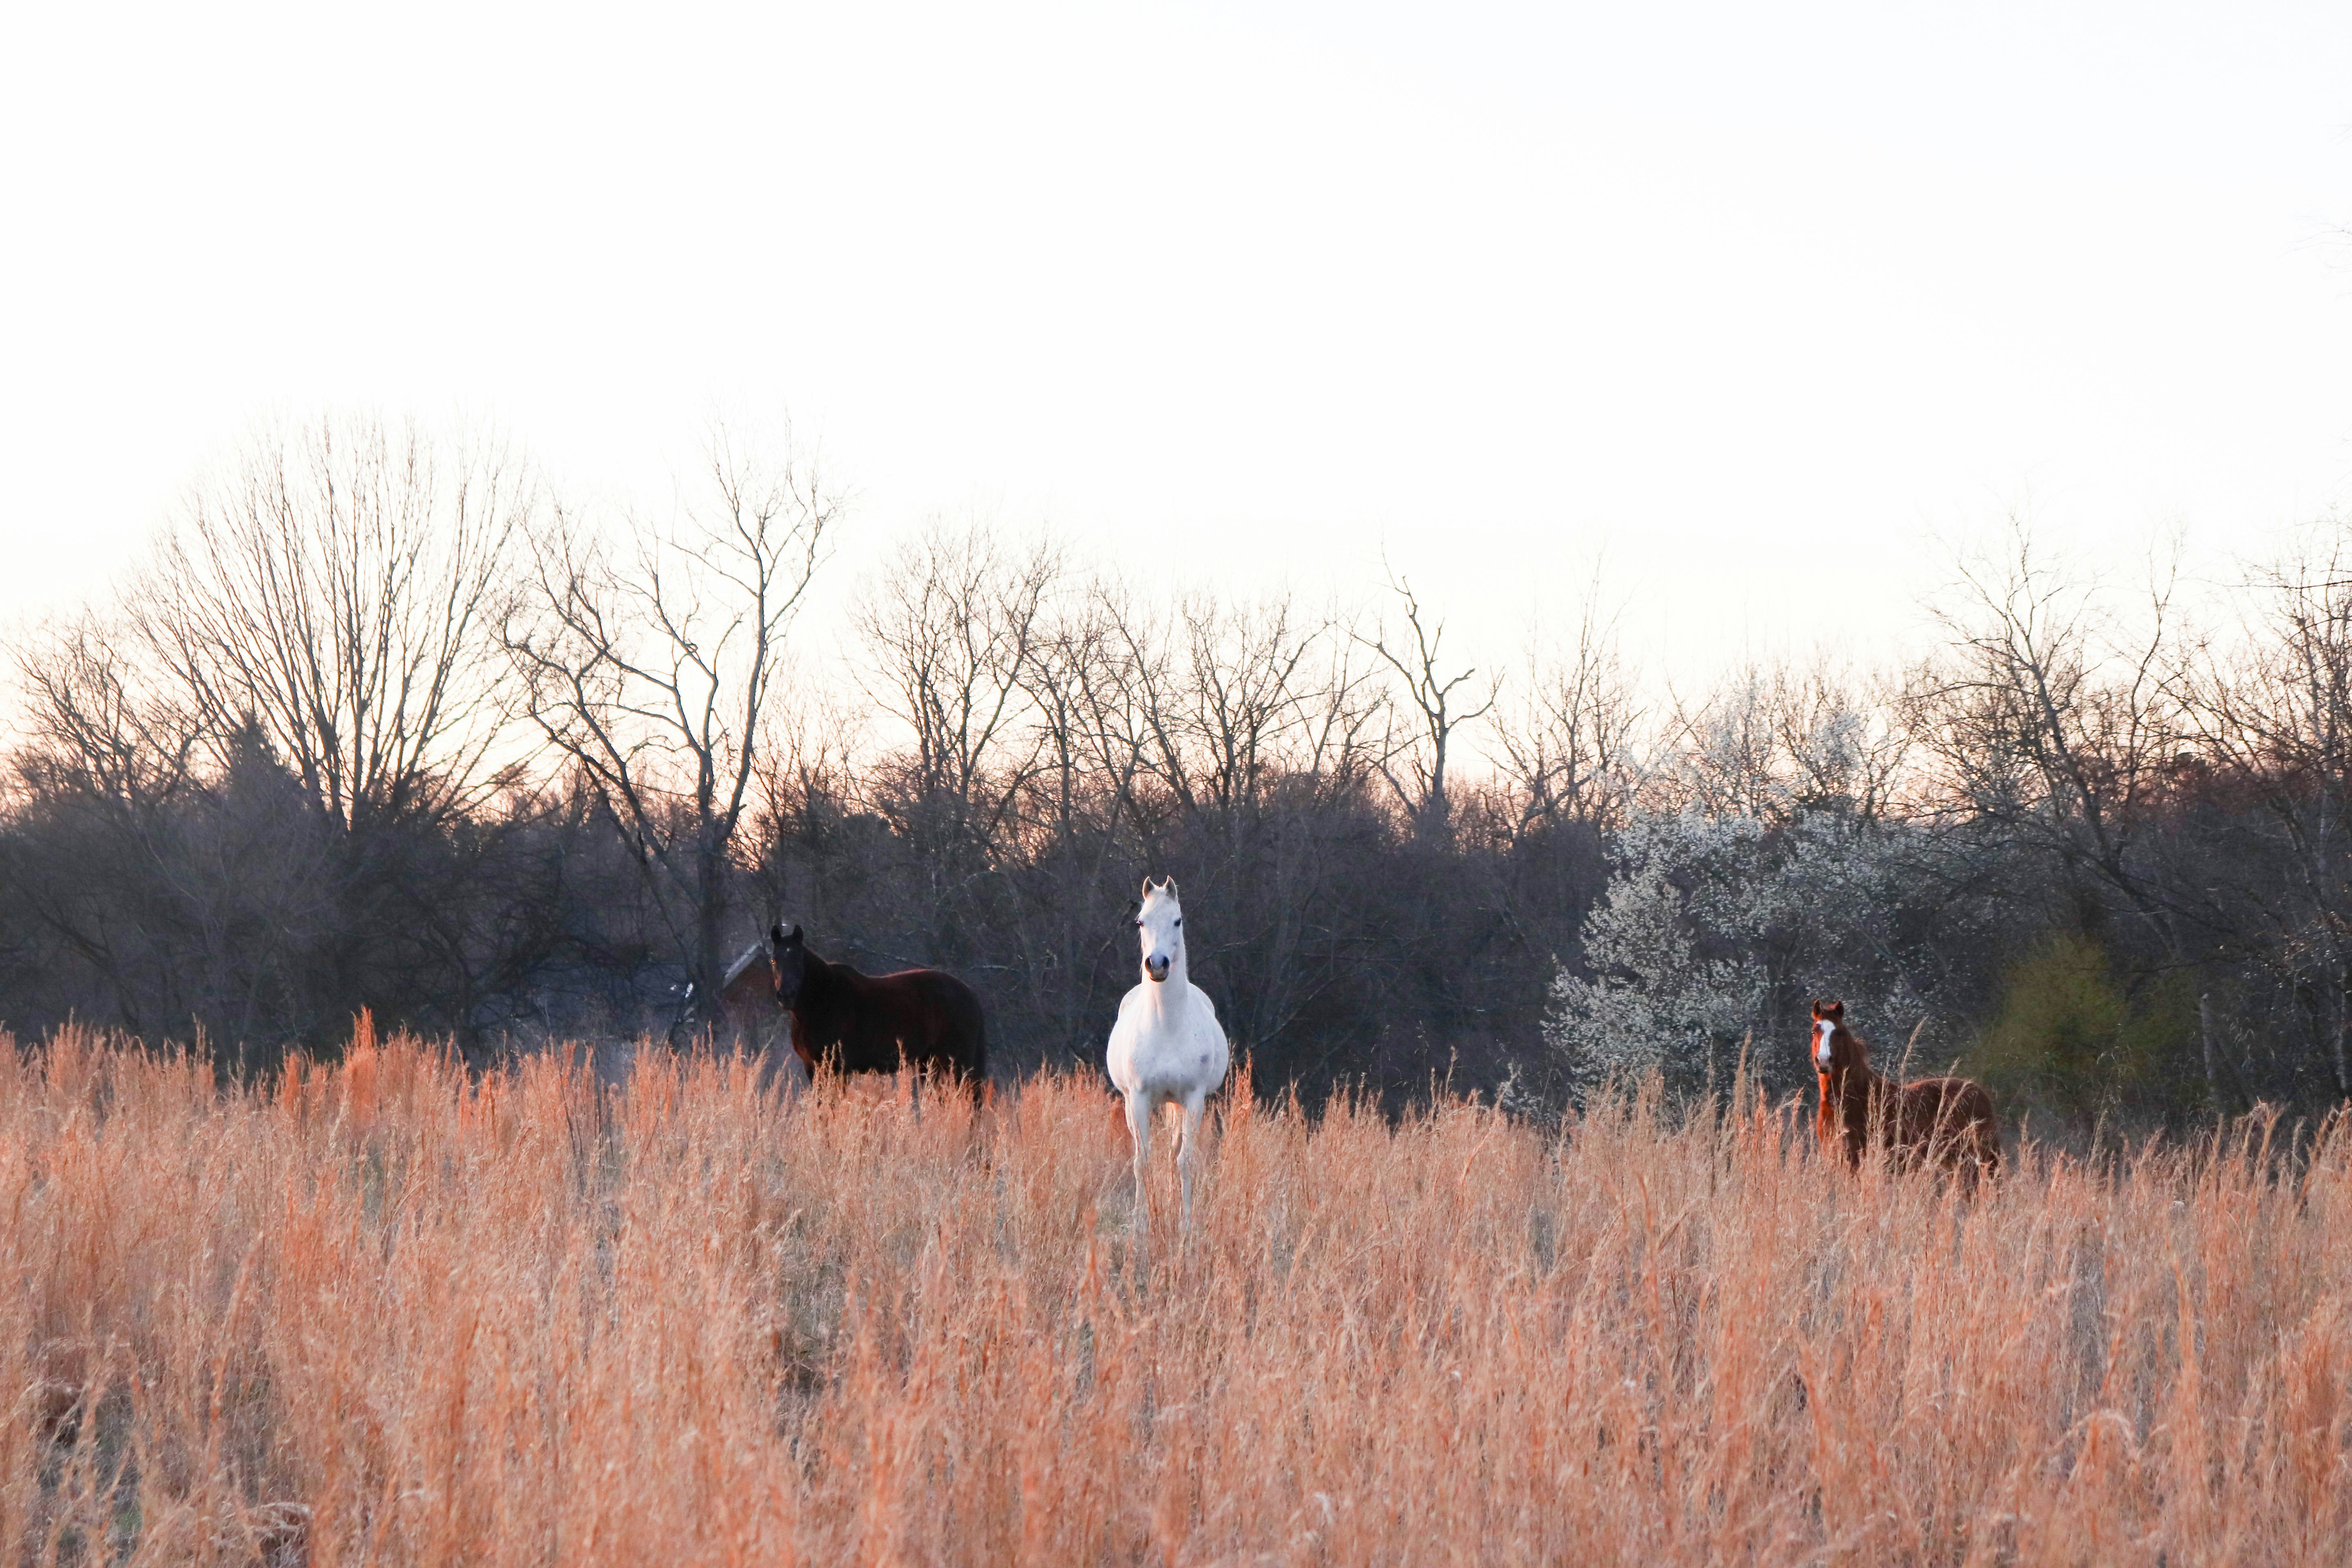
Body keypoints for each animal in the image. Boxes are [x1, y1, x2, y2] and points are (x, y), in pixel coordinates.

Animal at [765, 923, 989, 1099]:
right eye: (774, 960)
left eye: (798, 959)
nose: (786, 996)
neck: (822, 1002)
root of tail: (969, 993)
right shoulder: (813, 1068)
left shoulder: (838, 1069)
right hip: (930, 1064)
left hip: (959, 1064)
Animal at [1106, 877, 1230, 1265]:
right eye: (1140, 922)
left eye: (1178, 920)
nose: (1157, 965)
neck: (1166, 1026)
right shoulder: (1140, 1099)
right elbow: (1141, 1162)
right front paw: (1140, 1229)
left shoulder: (1193, 1100)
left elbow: (1184, 1161)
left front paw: (1185, 1227)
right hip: (1134, 1106)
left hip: (1178, 1106)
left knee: (1176, 1150)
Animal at [1810, 999, 2000, 1184]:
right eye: (1814, 1031)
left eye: (1839, 1032)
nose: (1824, 1061)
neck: (1854, 1099)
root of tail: (1980, 1095)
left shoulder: (1855, 1160)